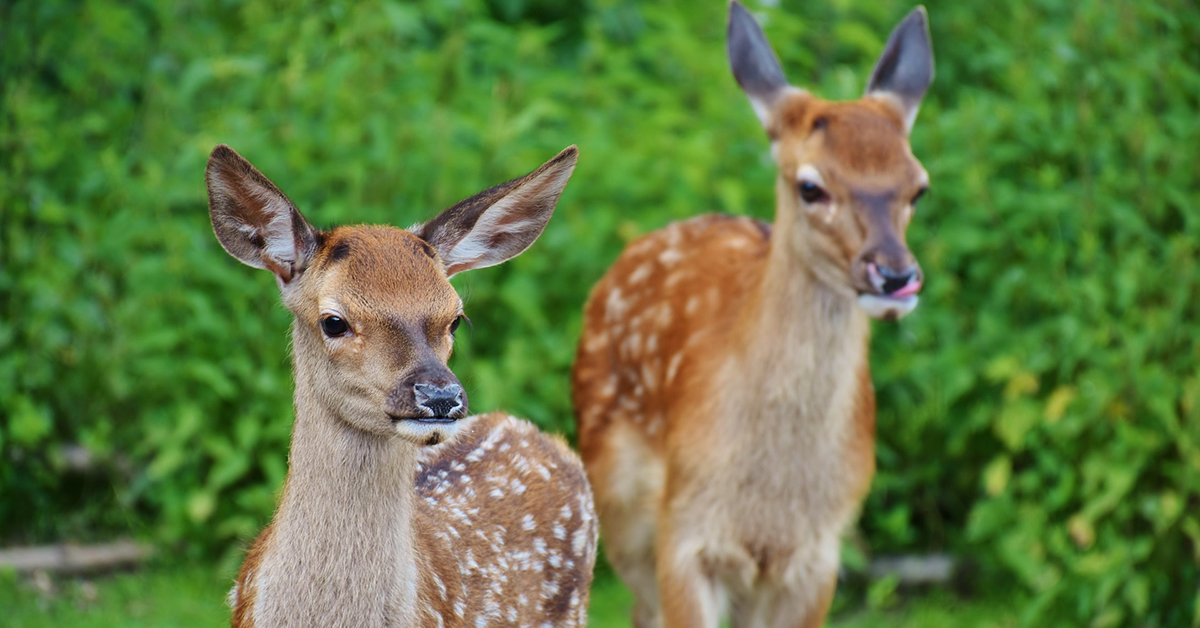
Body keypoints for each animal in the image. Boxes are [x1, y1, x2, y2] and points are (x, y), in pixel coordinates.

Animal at [571, 4, 936, 628]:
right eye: (811, 186)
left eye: (918, 187)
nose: (894, 276)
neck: (770, 500)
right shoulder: (685, 532)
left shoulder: (819, 551)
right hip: (619, 507)